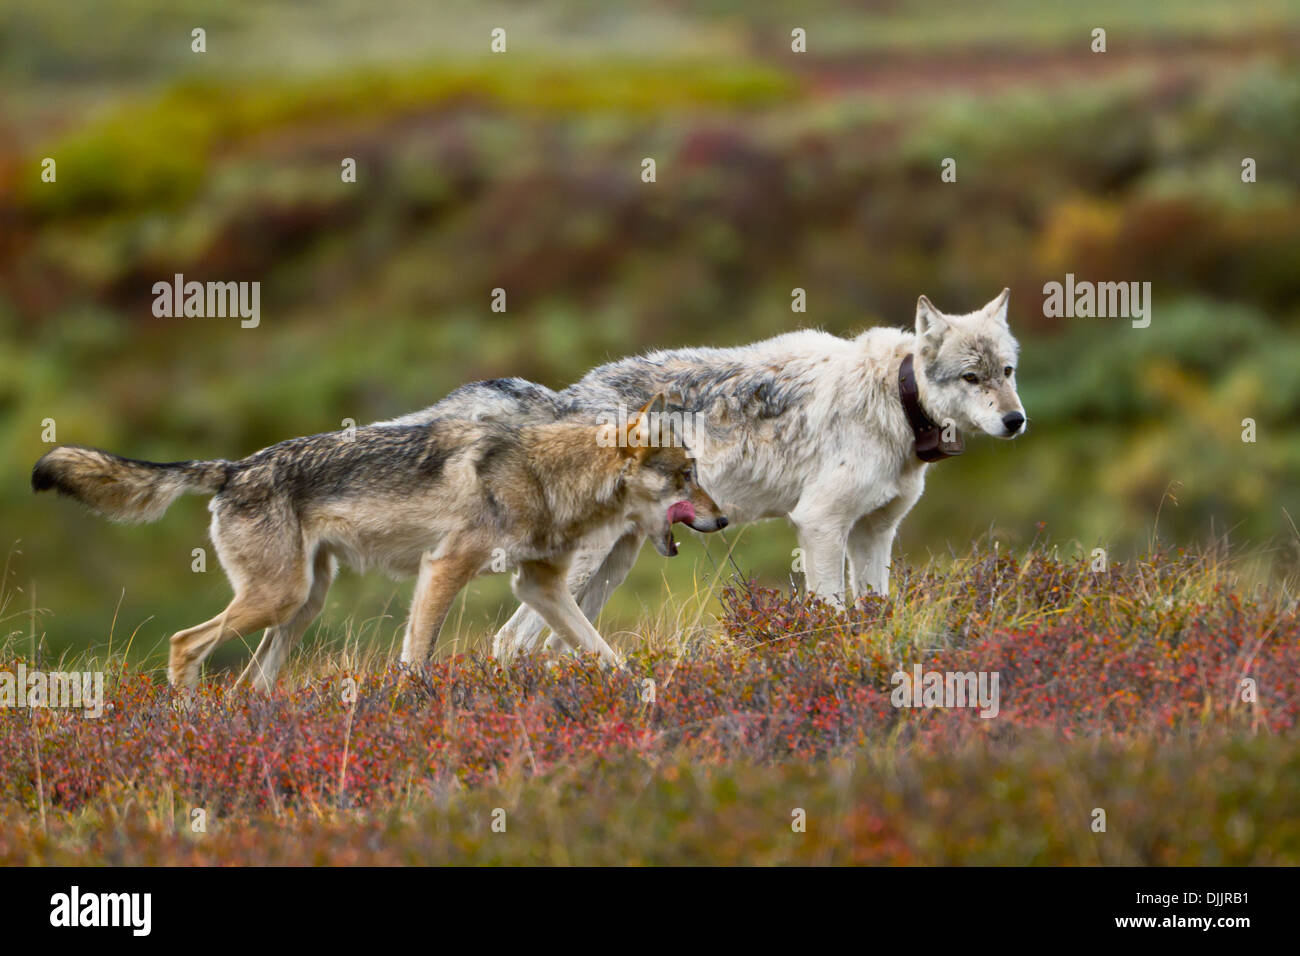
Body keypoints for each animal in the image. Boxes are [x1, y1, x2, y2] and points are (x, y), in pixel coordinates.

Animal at [30, 395, 728, 686]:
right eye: (687, 475)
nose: (723, 521)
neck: (547, 475)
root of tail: (232, 467)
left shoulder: (540, 587)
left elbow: (603, 652)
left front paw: (641, 692)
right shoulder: (444, 567)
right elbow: (416, 657)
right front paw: (410, 706)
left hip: (302, 604)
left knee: (249, 682)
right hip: (277, 600)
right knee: (182, 644)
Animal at [384, 286, 1024, 658]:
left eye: (1008, 371)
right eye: (972, 377)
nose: (1017, 421)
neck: (894, 396)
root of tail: (559, 396)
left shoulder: (875, 533)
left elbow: (875, 609)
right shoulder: (819, 524)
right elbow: (833, 615)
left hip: (610, 568)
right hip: (585, 565)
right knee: (508, 642)